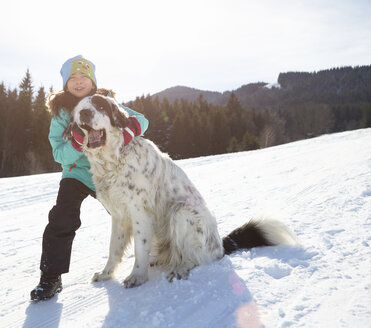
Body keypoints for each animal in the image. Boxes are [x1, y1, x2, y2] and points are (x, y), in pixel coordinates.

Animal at [69, 94, 296, 288]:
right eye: (80, 108)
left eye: (99, 106)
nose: (85, 113)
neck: (114, 160)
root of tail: (220, 246)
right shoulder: (119, 216)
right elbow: (114, 249)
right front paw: (106, 274)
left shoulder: (140, 213)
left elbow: (140, 248)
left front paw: (137, 276)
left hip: (181, 212)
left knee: (194, 258)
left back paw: (179, 269)